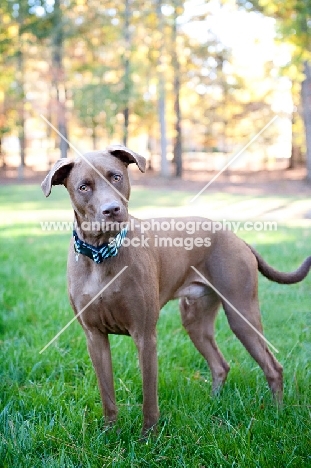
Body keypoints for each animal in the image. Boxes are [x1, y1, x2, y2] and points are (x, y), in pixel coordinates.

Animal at [41, 145, 311, 436]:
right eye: (83, 187)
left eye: (116, 177)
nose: (112, 209)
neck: (101, 254)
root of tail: (236, 237)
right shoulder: (94, 337)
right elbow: (107, 393)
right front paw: (110, 433)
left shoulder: (145, 335)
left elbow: (149, 395)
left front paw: (148, 437)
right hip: (196, 321)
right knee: (220, 365)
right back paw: (213, 404)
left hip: (242, 315)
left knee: (273, 367)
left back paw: (278, 414)